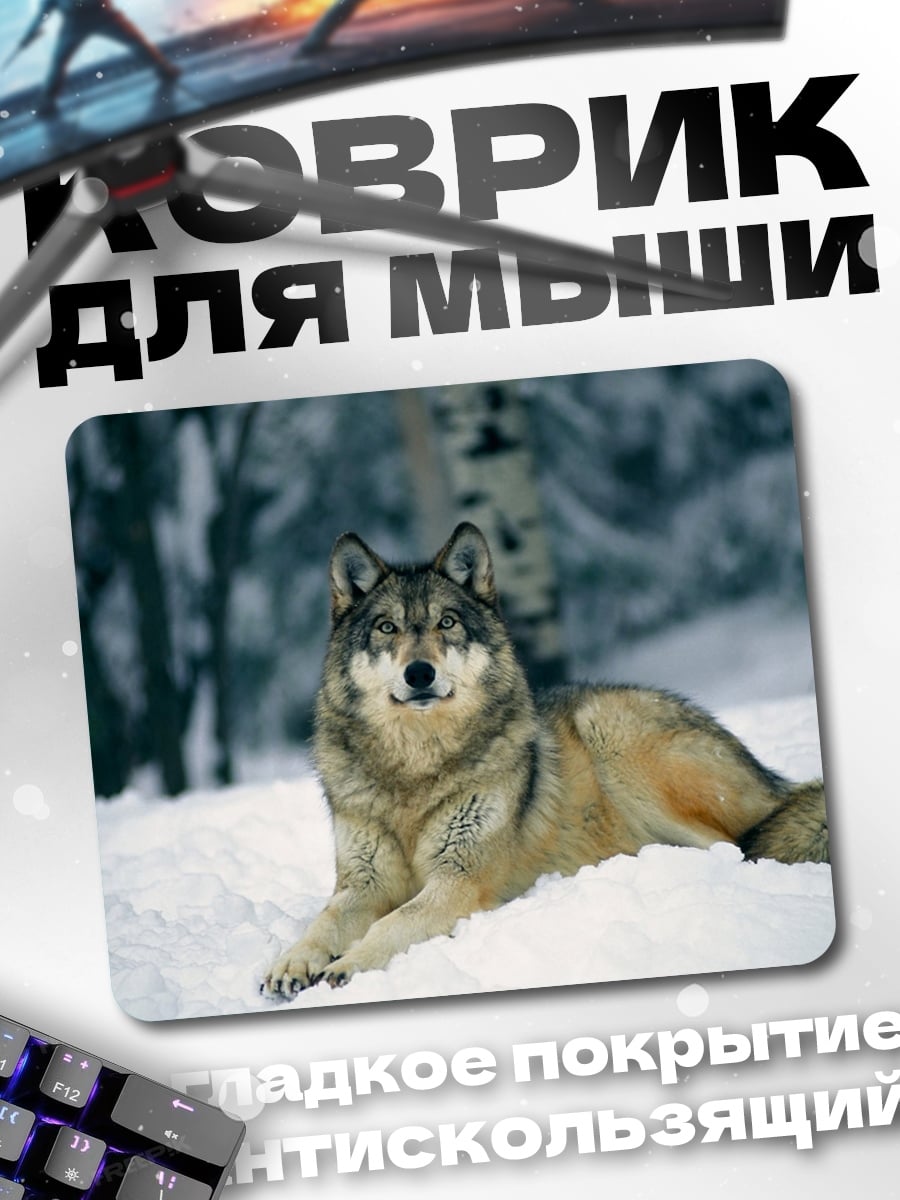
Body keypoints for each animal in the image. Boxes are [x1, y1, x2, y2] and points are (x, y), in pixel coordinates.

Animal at [262, 523, 828, 996]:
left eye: (447, 622)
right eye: (387, 628)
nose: (419, 673)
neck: (415, 768)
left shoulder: (458, 880)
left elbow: (390, 923)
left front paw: (347, 965)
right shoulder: (363, 884)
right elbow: (323, 923)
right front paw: (291, 963)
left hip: (611, 732)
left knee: (736, 848)